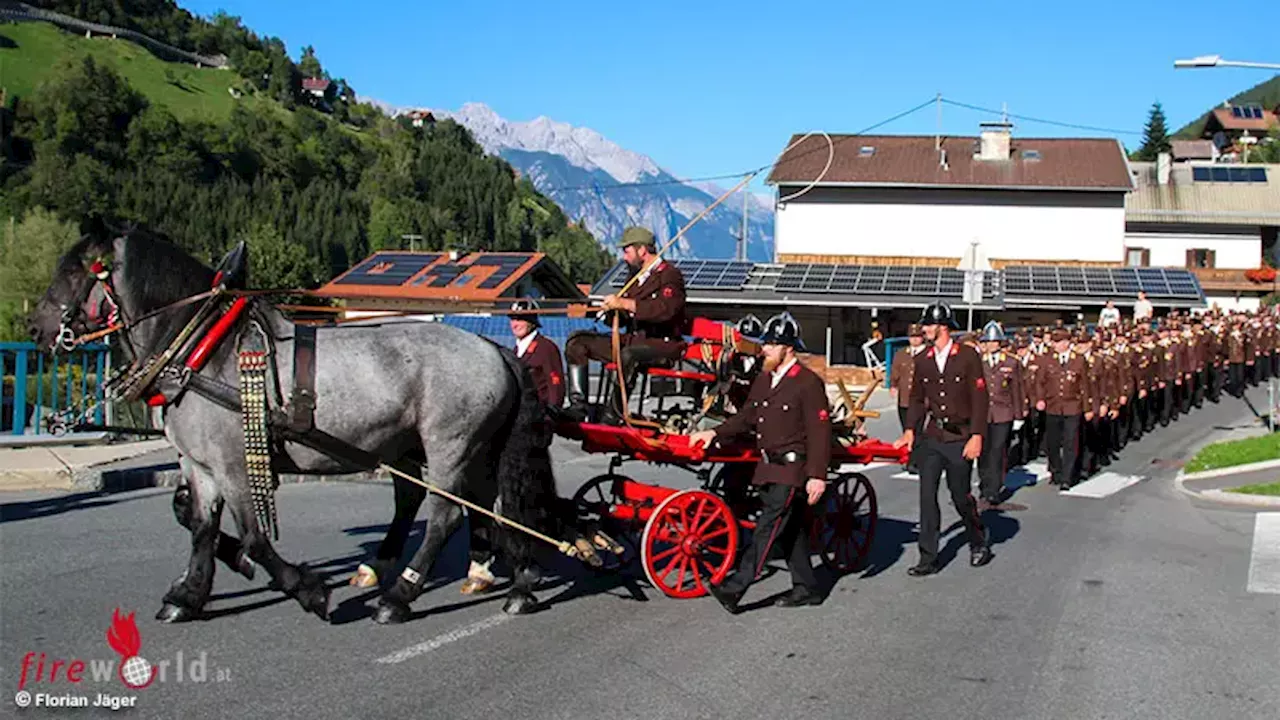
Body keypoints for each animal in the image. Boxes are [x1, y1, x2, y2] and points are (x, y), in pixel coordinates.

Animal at [26, 220, 560, 622]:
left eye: (73, 270)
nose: (37, 328)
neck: (204, 349)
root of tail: (493, 348)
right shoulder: (199, 466)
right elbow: (199, 527)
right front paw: (188, 595)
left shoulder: (234, 465)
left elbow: (255, 537)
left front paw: (307, 590)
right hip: (458, 447)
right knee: (485, 505)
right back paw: (512, 581)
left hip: (450, 445)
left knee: (446, 515)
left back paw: (399, 596)